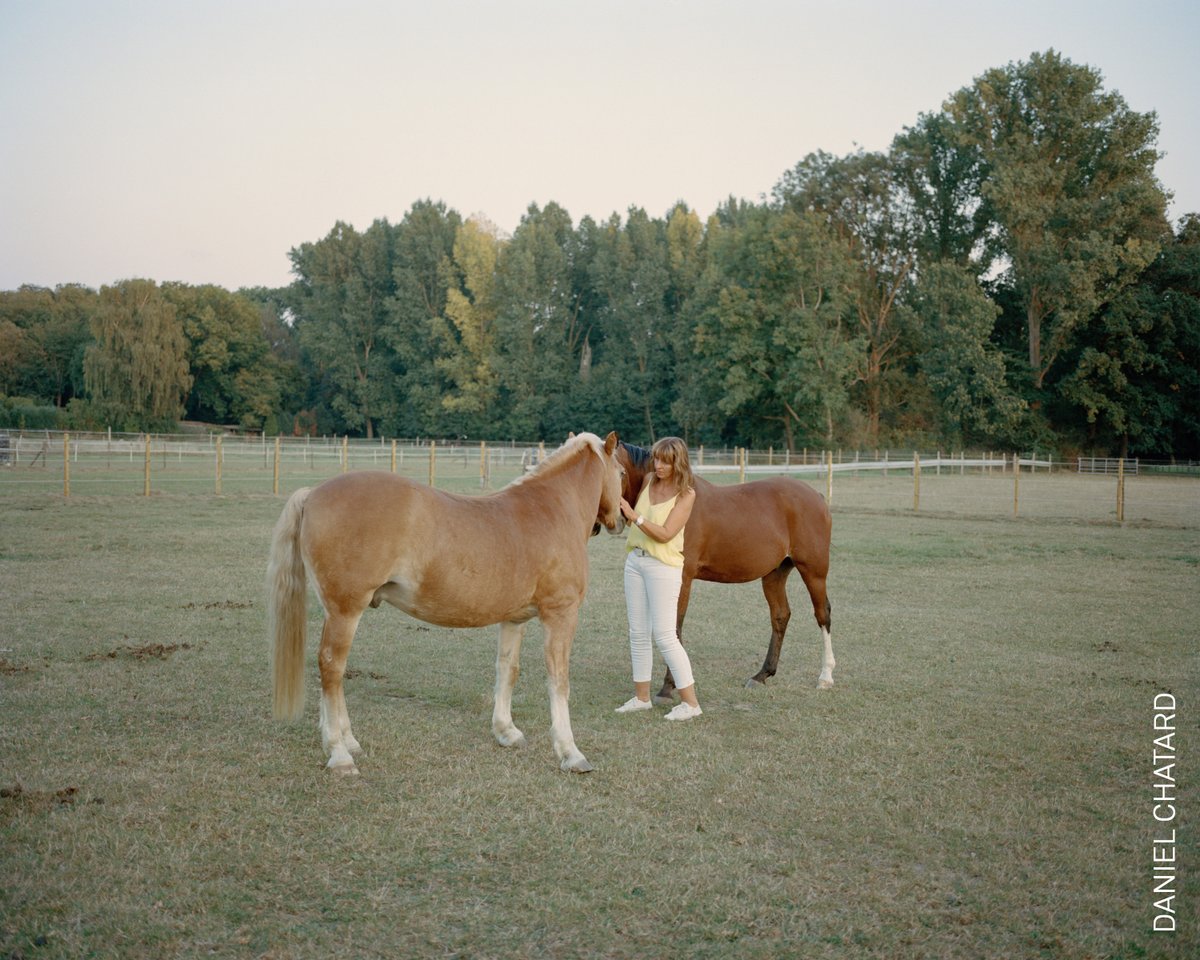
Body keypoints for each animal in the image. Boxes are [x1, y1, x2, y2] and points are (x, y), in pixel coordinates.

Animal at [270, 432, 628, 777]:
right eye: (623, 472)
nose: (622, 519)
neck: (551, 508)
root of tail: (313, 494)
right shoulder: (560, 614)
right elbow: (559, 680)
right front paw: (570, 752)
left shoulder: (514, 619)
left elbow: (507, 669)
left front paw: (506, 731)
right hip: (345, 612)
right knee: (331, 667)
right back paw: (340, 754)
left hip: (337, 613)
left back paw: (347, 741)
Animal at [619, 441, 835, 696]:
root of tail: (817, 497)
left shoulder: (682, 578)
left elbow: (675, 625)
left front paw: (668, 687)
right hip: (774, 574)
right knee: (781, 615)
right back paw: (762, 674)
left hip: (813, 570)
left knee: (822, 614)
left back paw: (826, 676)